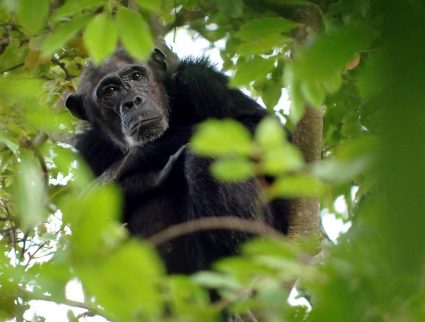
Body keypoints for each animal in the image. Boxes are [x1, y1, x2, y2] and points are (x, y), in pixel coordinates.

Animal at [65, 48, 288, 274]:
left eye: (136, 76)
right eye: (110, 91)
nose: (132, 101)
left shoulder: (204, 79)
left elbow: (264, 134)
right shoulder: (88, 149)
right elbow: (84, 218)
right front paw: (150, 170)